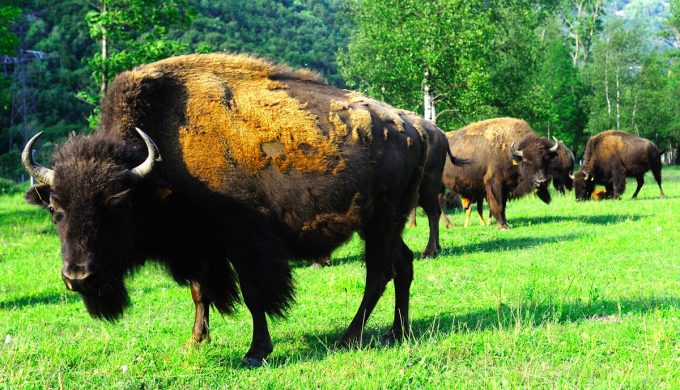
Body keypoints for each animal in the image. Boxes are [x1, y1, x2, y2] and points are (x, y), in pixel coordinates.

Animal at [23, 53, 428, 368]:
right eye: (55, 209)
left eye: (116, 205)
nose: (78, 277)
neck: (163, 159)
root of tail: (414, 127)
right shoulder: (198, 246)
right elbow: (199, 292)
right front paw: (194, 342)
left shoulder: (243, 242)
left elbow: (253, 295)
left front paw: (255, 351)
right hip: (385, 225)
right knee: (403, 264)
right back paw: (398, 332)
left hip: (380, 223)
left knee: (378, 273)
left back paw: (351, 336)